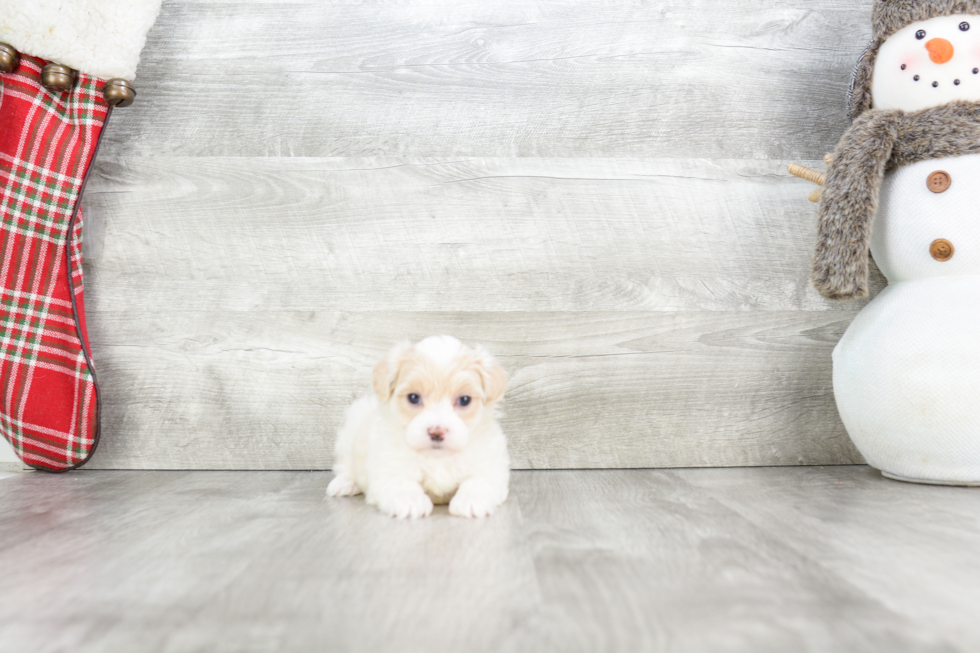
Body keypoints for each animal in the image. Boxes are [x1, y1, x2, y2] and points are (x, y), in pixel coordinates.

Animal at [330, 336, 512, 520]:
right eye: (413, 397)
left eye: (465, 400)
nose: (437, 432)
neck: (437, 457)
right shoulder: (388, 465)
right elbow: (401, 480)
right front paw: (409, 500)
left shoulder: (490, 464)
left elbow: (479, 480)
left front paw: (472, 500)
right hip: (351, 430)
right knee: (346, 465)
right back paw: (344, 483)